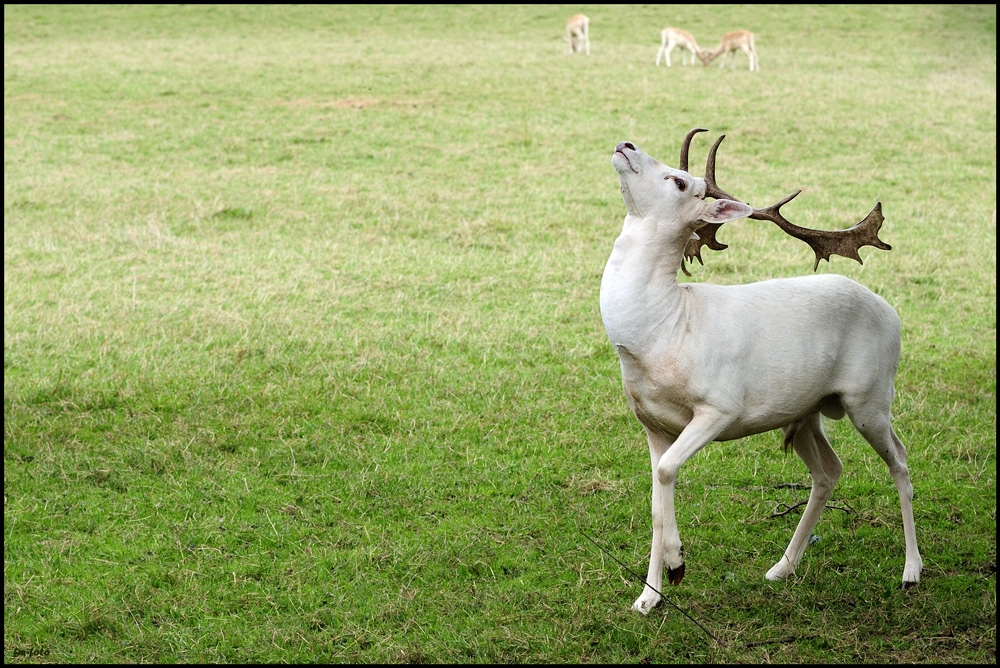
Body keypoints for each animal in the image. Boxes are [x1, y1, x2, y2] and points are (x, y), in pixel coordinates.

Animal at [600, 129, 920, 616]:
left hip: (871, 397)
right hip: (805, 411)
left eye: (679, 182)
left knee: (899, 460)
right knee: (830, 469)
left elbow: (670, 470)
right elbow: (656, 495)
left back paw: (911, 572)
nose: (627, 145)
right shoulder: (651, 424)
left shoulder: (721, 407)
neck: (662, 334)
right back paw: (781, 568)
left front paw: (677, 563)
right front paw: (648, 596)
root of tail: (893, 312)